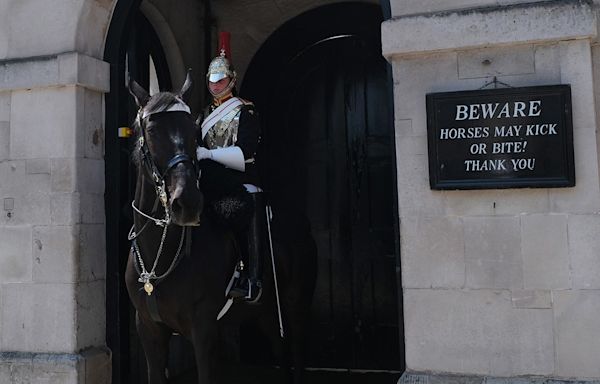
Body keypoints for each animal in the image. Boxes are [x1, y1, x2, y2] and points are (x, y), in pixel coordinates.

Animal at [123, 75, 316, 384]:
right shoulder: (149, 330)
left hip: (296, 303)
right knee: (281, 350)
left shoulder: (204, 331)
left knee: (296, 351)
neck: (159, 256)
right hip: (266, 313)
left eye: (192, 130)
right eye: (151, 130)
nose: (187, 203)